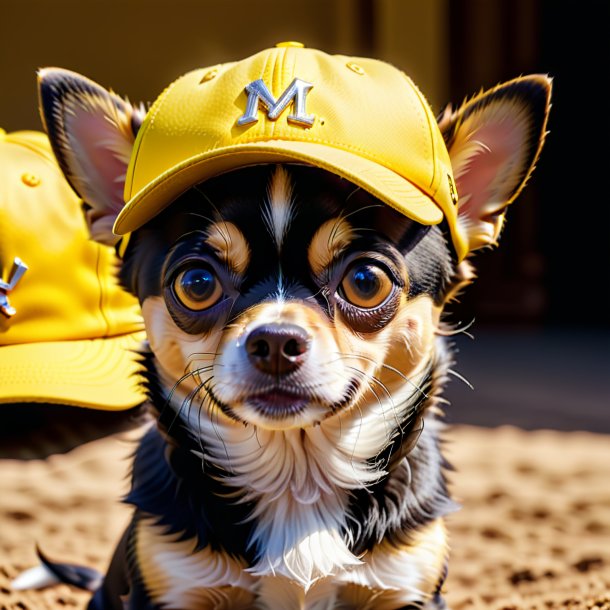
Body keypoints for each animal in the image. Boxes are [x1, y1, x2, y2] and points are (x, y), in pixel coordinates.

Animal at [27, 44, 552, 608]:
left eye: (365, 281)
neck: (297, 483)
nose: (276, 340)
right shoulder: (172, 587)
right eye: (196, 282)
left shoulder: (406, 587)